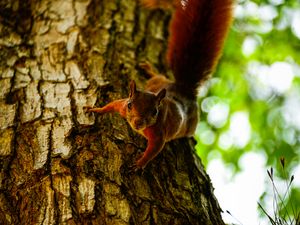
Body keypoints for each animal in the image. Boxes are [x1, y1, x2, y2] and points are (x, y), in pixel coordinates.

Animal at [85, 0, 233, 170]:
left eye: (155, 112)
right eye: (130, 105)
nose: (138, 123)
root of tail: (184, 88)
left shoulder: (159, 133)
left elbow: (154, 150)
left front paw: (139, 163)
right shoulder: (121, 106)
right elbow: (111, 105)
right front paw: (95, 110)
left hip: (192, 122)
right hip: (159, 81)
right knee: (158, 76)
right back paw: (148, 69)